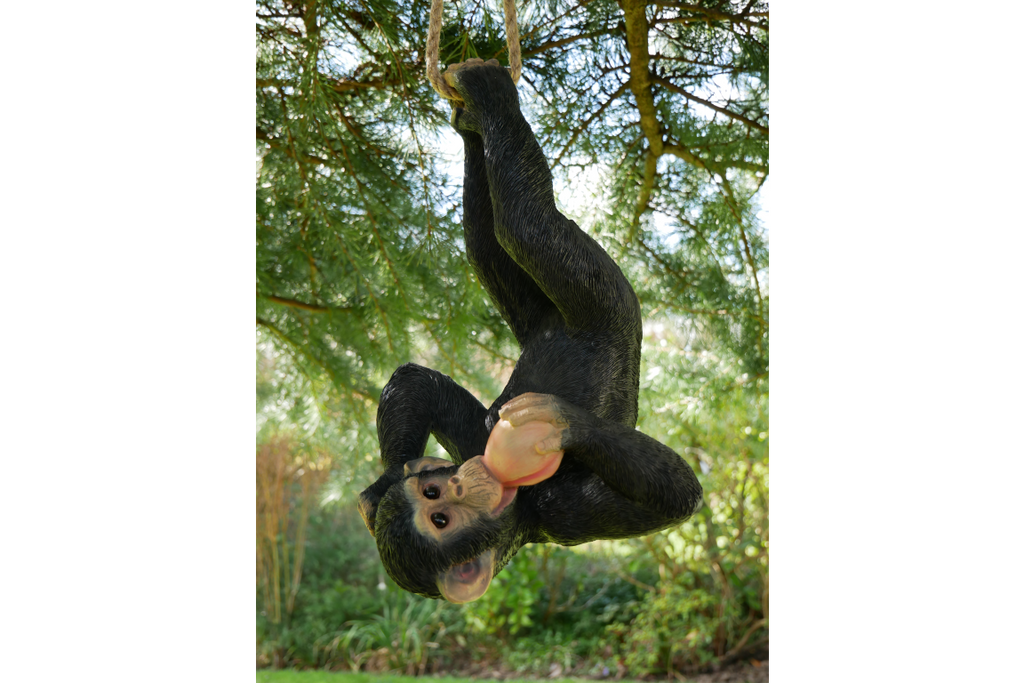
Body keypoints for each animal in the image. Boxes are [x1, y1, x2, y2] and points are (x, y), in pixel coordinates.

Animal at [358, 59, 703, 603]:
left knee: (488, 241)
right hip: (600, 295)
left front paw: (384, 483)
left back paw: (470, 116)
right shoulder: (565, 513)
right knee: (525, 226)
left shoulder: (471, 444)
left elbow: (417, 384)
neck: (515, 499)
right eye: (439, 516)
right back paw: (491, 95)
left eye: (433, 492)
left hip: (542, 315)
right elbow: (677, 499)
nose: (460, 484)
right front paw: (563, 424)